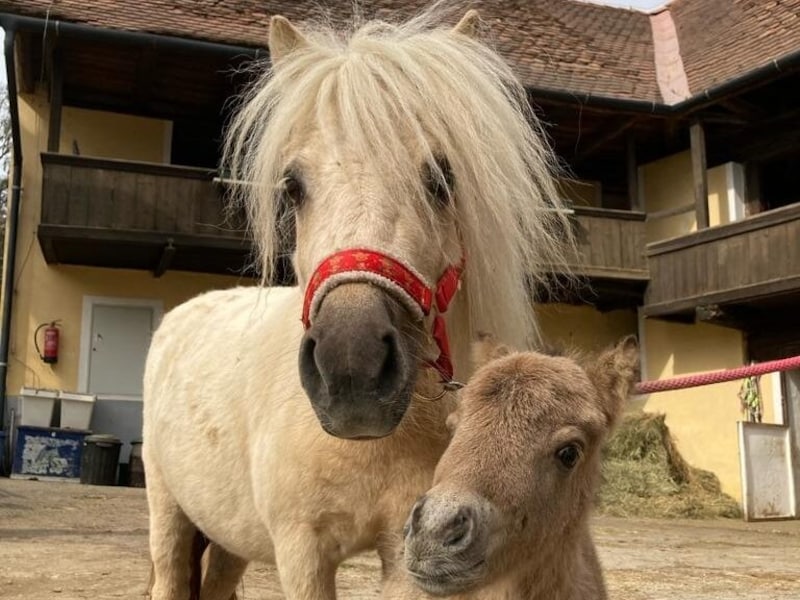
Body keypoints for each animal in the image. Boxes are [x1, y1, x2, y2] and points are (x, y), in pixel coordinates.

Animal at [142, 5, 568, 600]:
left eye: (442, 179)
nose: (351, 370)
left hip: (229, 537)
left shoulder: (405, 544)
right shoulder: (301, 547)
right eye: (292, 186)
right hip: (168, 513)